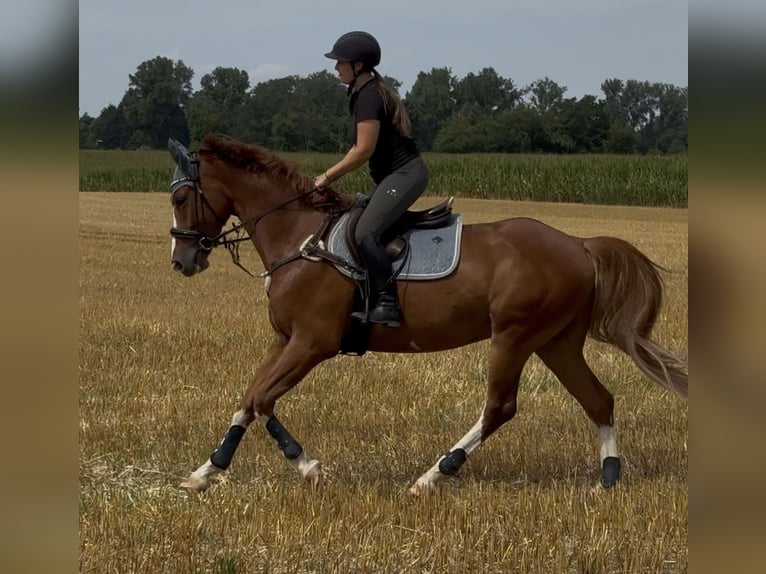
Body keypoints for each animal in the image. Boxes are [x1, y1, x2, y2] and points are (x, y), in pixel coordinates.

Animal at [167, 134, 687, 494]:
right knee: (598, 400)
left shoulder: (313, 342)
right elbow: (249, 397)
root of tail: (579, 244)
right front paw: (204, 471)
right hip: (555, 342)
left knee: (500, 407)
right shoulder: (285, 339)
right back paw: (607, 480)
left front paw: (307, 466)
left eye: (179, 198)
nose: (182, 261)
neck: (299, 237)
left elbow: (263, 400)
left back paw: (432, 476)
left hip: (515, 336)